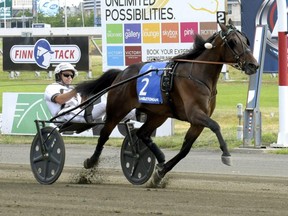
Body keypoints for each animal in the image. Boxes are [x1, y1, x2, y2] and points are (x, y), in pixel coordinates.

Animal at [76, 20, 258, 186]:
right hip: (117, 109)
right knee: (104, 134)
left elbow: (185, 149)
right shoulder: (195, 114)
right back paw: (90, 163)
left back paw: (160, 159)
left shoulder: (197, 122)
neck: (198, 74)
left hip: (158, 114)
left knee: (142, 133)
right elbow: (215, 126)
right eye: (233, 42)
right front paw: (226, 154)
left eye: (246, 40)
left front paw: (160, 172)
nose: (253, 65)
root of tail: (122, 74)